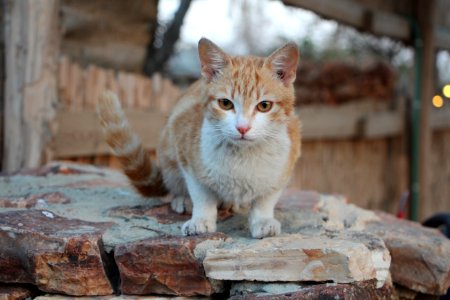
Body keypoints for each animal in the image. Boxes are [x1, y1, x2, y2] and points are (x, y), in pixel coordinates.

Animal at [99, 38, 302, 239]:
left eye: (264, 106)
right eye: (225, 103)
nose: (242, 128)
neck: (243, 156)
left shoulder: (284, 169)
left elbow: (265, 199)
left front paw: (263, 220)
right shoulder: (187, 156)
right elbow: (202, 195)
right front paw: (201, 219)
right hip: (168, 153)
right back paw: (182, 199)